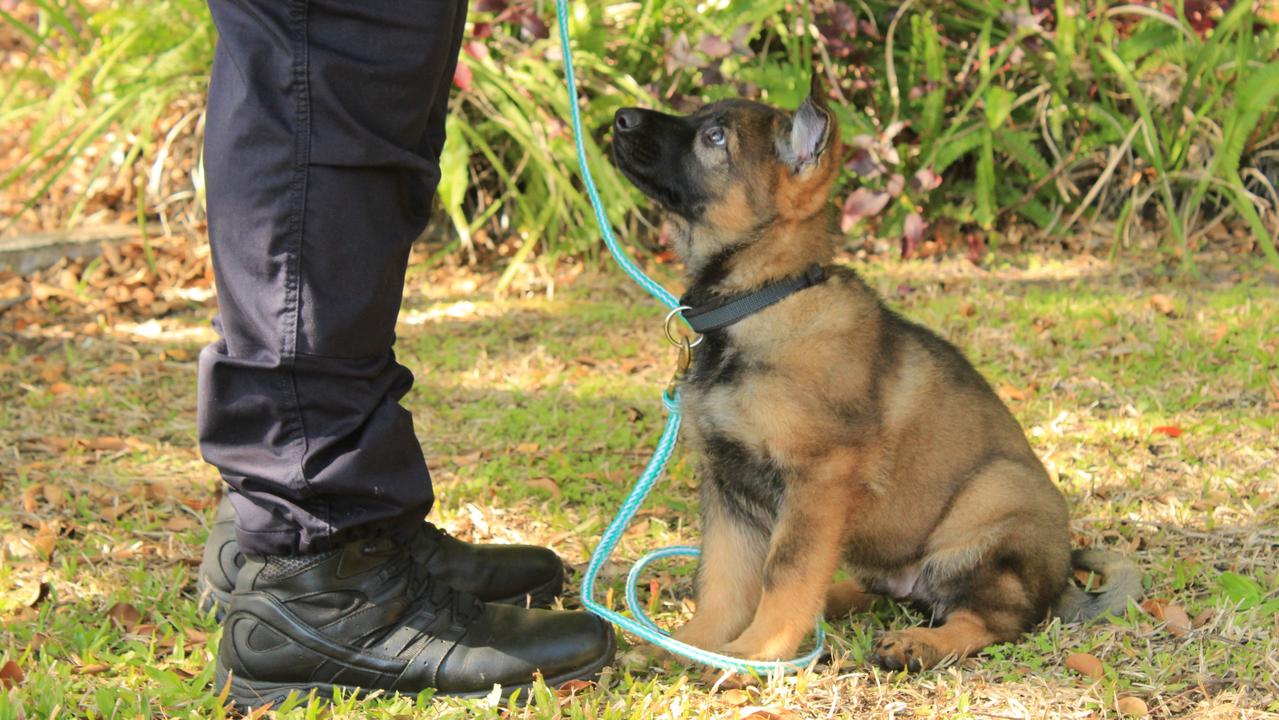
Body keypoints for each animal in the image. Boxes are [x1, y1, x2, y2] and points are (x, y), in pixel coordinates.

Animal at [608, 78, 1140, 670]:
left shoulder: (818, 477)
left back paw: (917, 644)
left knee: (990, 621)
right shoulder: (727, 485)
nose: (619, 117)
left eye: (715, 137)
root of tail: (1060, 582)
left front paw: (756, 654)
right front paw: (692, 646)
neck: (761, 298)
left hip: (992, 501)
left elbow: (784, 572)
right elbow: (722, 580)